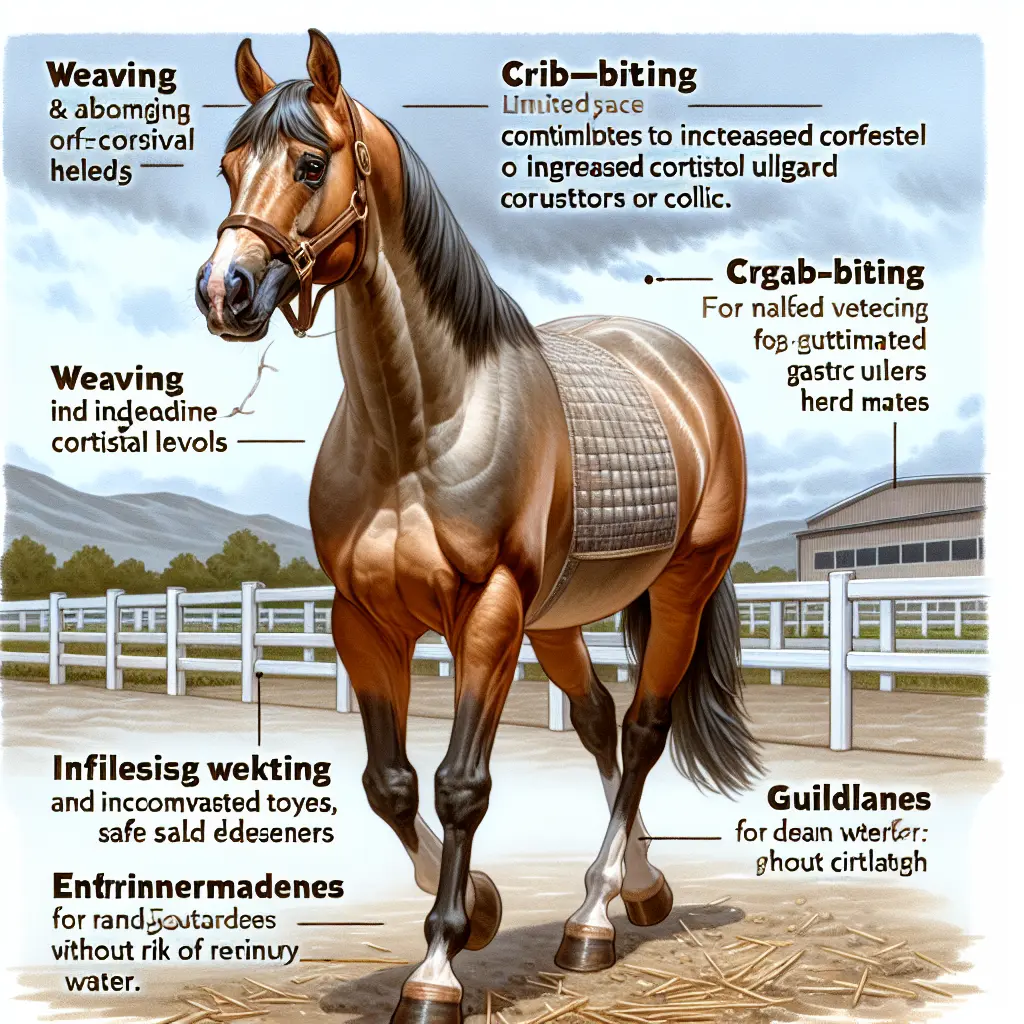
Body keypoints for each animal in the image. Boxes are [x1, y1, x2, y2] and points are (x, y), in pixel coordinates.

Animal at [196, 29, 760, 1023]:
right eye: (228, 167)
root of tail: (681, 366)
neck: (417, 428)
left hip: (679, 590)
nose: (224, 291)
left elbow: (461, 786)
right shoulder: (361, 619)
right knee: (598, 722)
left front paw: (438, 967)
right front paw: (486, 908)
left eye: (310, 163)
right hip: (561, 619)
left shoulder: (488, 616)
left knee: (645, 729)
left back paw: (592, 920)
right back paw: (633, 894)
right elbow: (388, 784)